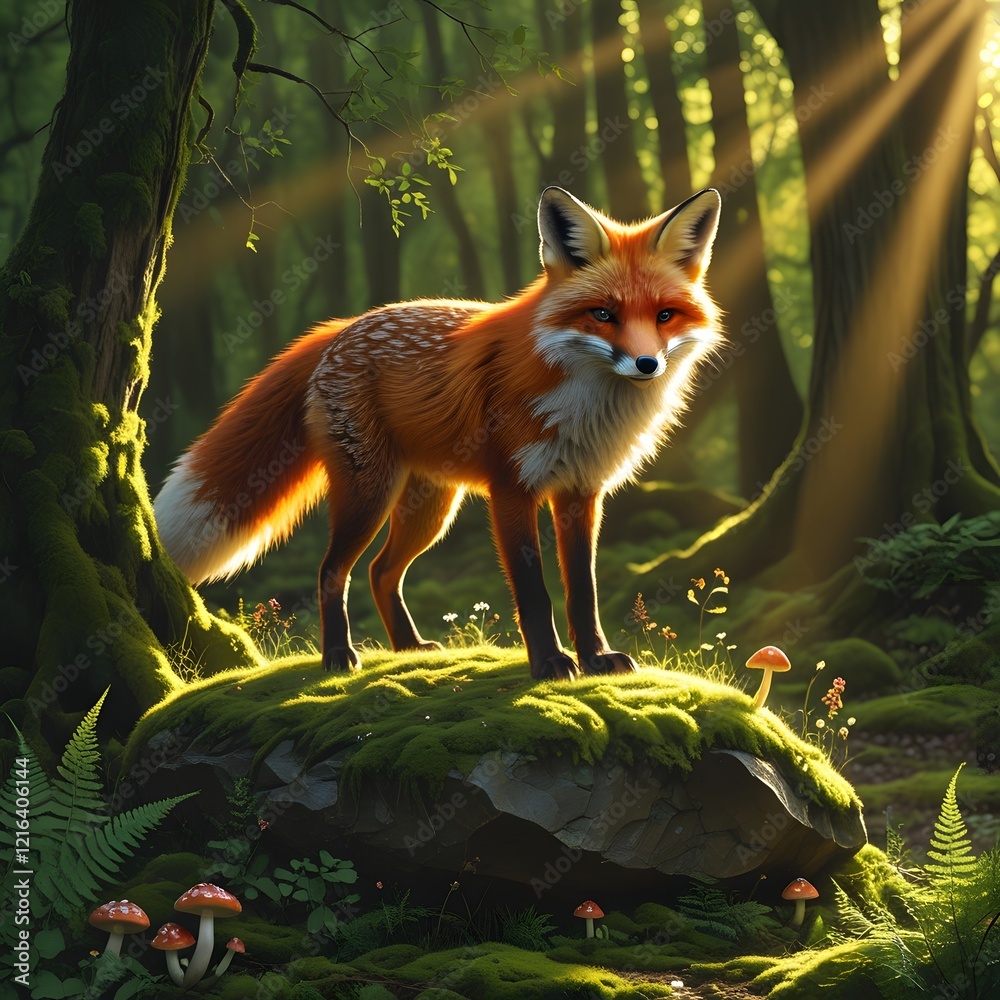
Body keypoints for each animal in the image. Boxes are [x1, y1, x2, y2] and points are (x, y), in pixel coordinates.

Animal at [154, 186, 723, 680]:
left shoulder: (581, 492)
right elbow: (534, 593)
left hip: (430, 507)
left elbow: (583, 591)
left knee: (380, 572)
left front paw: (596, 659)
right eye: (602, 314)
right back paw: (338, 654)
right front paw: (549, 664)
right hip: (370, 495)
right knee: (332, 571)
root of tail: (340, 327)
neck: (588, 408)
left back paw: (408, 647)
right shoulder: (512, 489)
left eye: (664, 315)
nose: (647, 364)